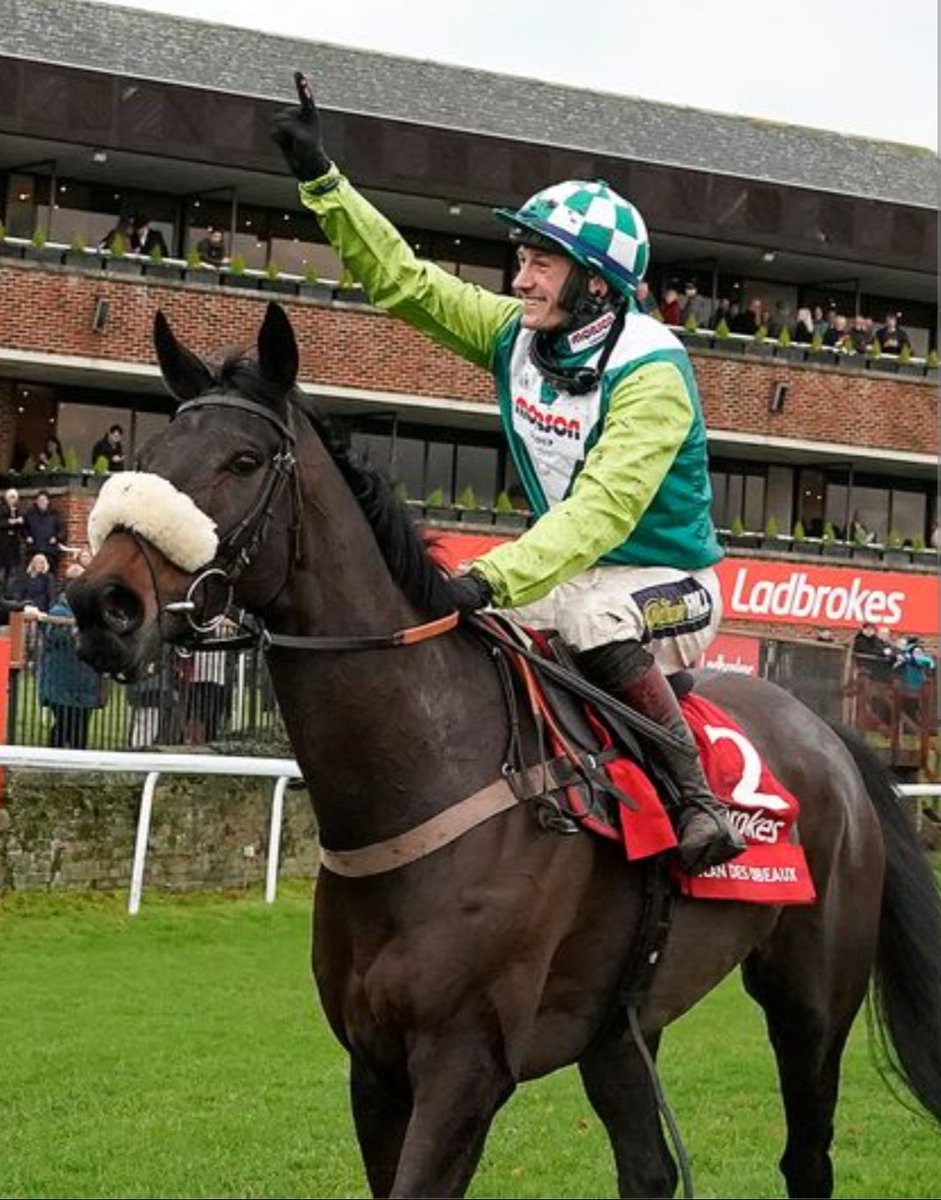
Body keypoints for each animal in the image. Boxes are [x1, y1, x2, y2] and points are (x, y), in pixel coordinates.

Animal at [69, 302, 941, 1199]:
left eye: (242, 461)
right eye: (144, 458)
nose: (102, 603)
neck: (427, 771)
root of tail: (825, 731)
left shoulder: (466, 1063)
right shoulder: (373, 1066)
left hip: (810, 999)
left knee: (806, 1155)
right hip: (622, 1026)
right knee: (650, 1166)